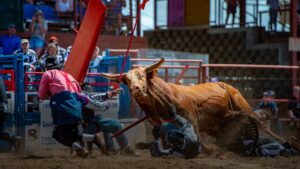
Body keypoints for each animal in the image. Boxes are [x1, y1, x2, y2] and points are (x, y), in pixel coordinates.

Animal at [101, 57, 286, 151]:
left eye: (141, 76)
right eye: (127, 80)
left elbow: (195, 131)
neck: (164, 98)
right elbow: (161, 133)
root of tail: (224, 84)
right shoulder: (157, 122)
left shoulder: (191, 116)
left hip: (241, 103)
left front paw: (207, 148)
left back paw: (282, 140)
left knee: (259, 122)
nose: (136, 88)